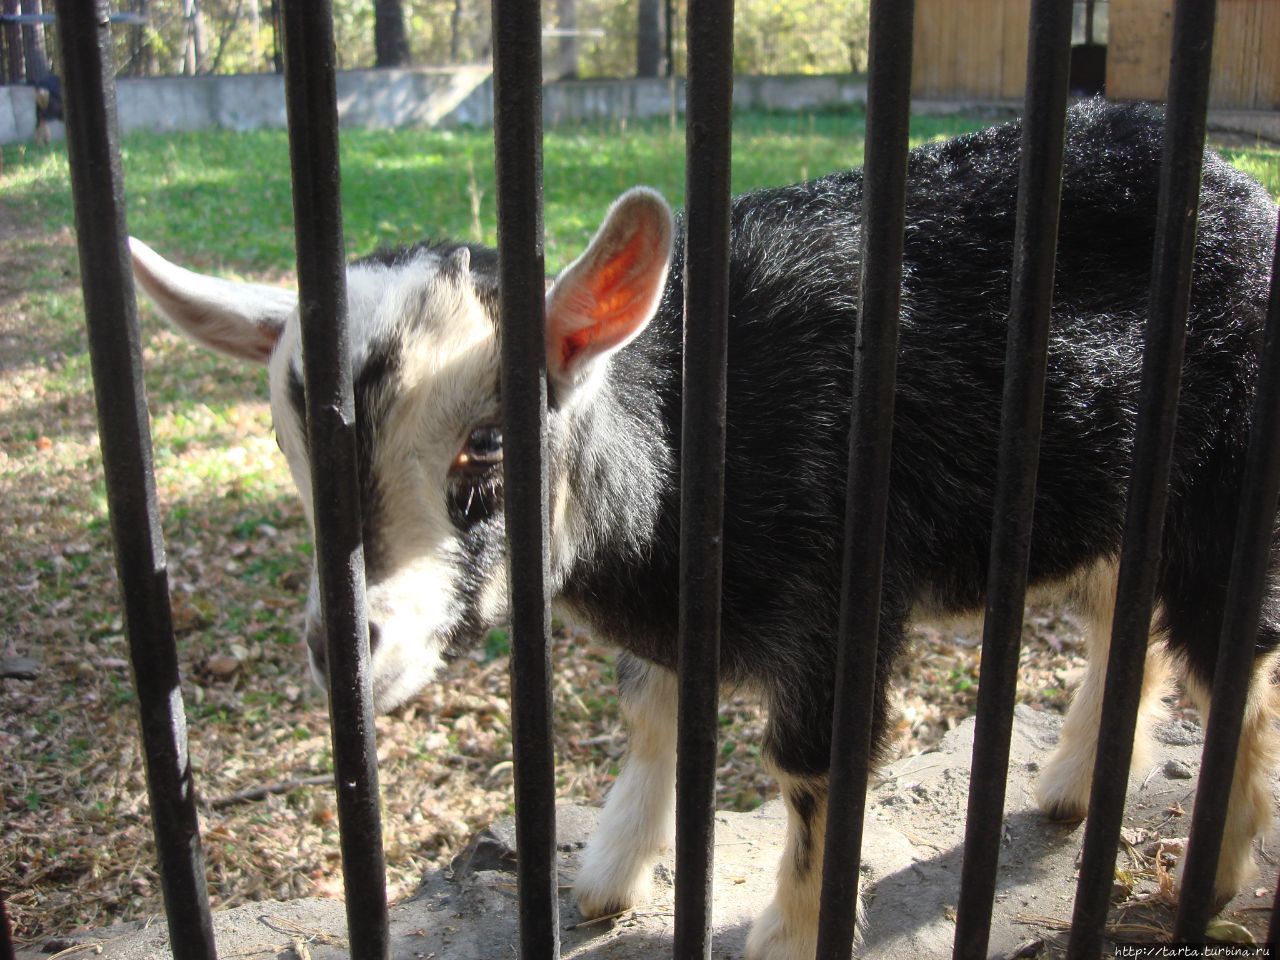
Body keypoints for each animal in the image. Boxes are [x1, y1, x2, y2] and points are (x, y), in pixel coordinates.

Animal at [129, 101, 1280, 957]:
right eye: (287, 438)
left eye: (488, 442)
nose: (343, 645)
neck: (684, 443)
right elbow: (651, 712)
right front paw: (605, 876)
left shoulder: (840, 602)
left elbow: (812, 770)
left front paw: (790, 935)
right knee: (1123, 625)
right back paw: (1074, 788)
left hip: (1223, 488)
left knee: (1233, 659)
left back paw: (1213, 874)